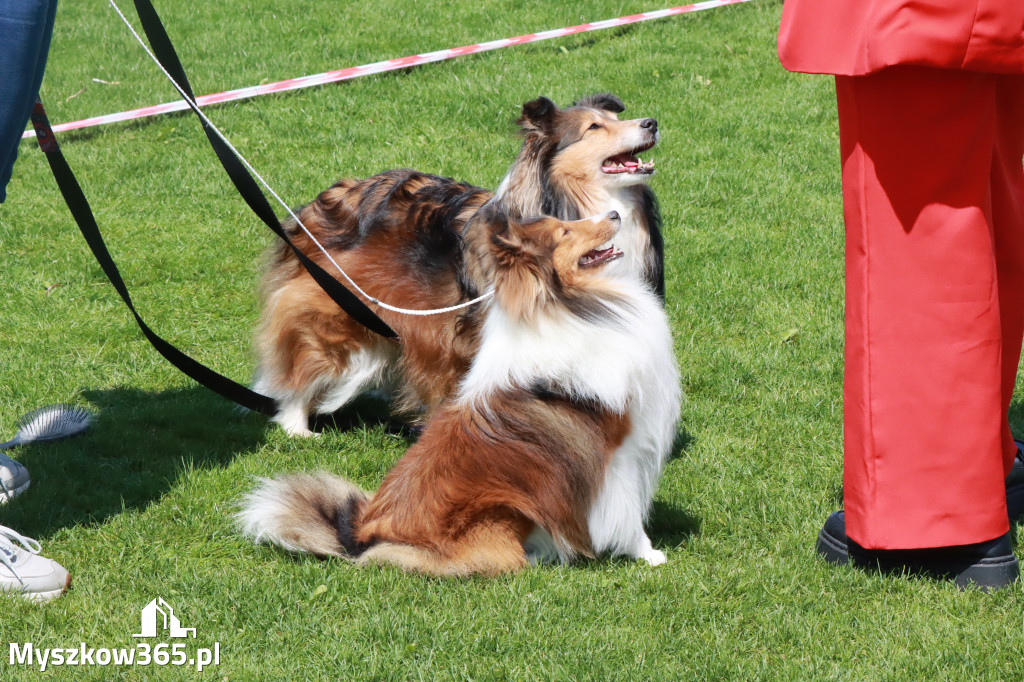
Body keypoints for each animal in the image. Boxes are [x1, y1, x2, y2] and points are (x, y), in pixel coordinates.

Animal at [239, 206, 679, 573]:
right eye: (565, 231)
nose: (615, 213)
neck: (568, 304)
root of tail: (361, 535)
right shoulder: (618, 457)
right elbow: (628, 516)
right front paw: (650, 555)